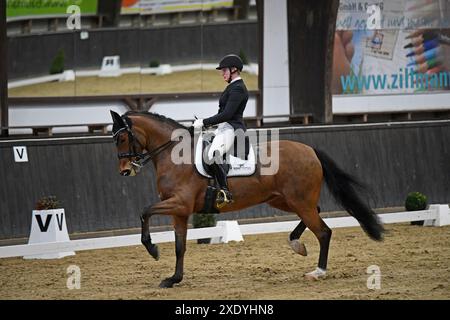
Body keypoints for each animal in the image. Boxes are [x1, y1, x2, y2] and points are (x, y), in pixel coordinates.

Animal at [109, 110, 384, 288]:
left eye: (122, 138)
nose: (125, 170)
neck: (175, 156)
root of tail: (310, 150)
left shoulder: (179, 204)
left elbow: (144, 211)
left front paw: (153, 249)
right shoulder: (180, 212)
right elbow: (180, 246)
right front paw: (173, 279)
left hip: (298, 202)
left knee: (324, 232)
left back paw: (318, 272)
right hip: (285, 200)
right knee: (315, 213)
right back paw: (296, 244)